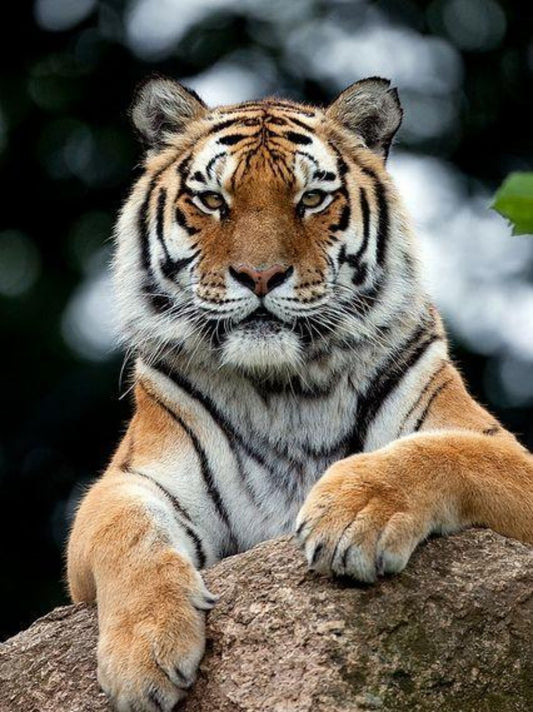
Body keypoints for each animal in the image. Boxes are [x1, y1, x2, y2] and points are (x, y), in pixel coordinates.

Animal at [67, 76, 533, 712]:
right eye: (212, 200)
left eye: (311, 199)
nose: (260, 276)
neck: (287, 387)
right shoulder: (128, 481)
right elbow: (128, 533)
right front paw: (145, 654)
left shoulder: (498, 447)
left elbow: (445, 452)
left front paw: (352, 511)